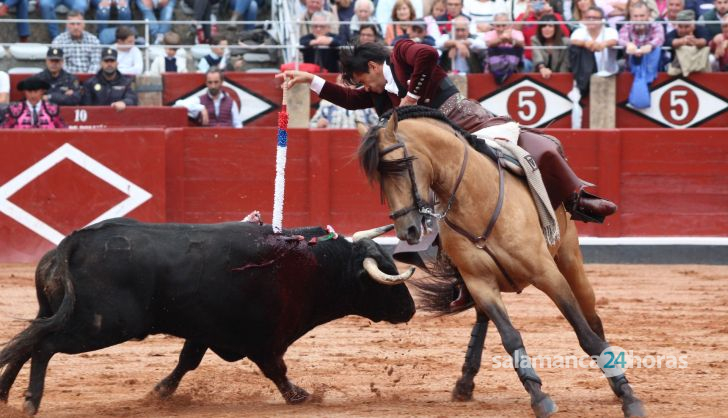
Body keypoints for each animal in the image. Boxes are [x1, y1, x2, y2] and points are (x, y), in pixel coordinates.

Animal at [0, 217, 416, 414]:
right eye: (385, 277)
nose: (410, 309)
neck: (313, 264)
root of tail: (74, 241)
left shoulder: (204, 330)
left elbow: (187, 361)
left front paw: (160, 392)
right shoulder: (262, 338)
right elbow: (275, 369)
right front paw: (300, 396)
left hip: (56, 312)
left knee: (27, 343)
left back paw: (5, 396)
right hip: (102, 324)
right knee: (44, 346)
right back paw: (30, 401)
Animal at [356, 107, 644, 418]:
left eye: (400, 165)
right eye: (377, 178)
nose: (406, 231)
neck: (475, 199)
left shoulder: (547, 273)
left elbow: (584, 333)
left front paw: (629, 397)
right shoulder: (479, 282)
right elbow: (510, 337)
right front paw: (539, 396)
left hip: (569, 259)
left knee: (591, 317)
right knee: (483, 320)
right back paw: (465, 382)